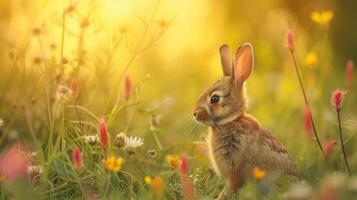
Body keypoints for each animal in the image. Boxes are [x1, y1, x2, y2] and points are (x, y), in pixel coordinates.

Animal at [193, 42, 296, 197]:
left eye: (215, 99)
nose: (194, 113)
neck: (231, 120)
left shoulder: (235, 170)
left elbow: (231, 186)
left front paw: (220, 197)